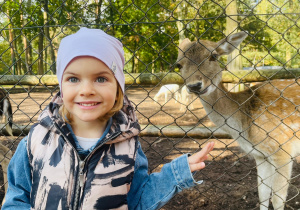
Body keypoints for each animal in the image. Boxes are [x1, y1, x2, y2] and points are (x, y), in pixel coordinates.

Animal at [176, 31, 300, 210]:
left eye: (213, 56)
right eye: (178, 64)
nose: (194, 85)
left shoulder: (283, 149)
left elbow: (277, 199)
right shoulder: (261, 155)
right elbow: (262, 193)